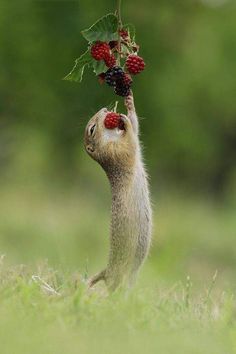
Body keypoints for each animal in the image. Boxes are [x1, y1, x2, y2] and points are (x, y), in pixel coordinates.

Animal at [84, 93, 152, 290]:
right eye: (92, 129)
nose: (105, 110)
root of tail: (106, 271)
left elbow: (136, 129)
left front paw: (129, 104)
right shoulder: (114, 152)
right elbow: (130, 142)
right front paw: (125, 122)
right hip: (119, 277)